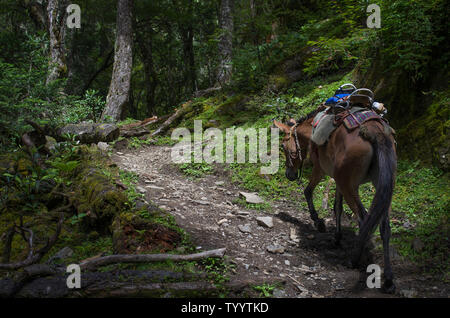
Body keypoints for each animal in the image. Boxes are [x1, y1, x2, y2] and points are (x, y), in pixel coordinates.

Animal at [274, 108, 398, 294]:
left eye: (283, 145)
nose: (289, 175)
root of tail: (374, 132)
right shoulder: (338, 179)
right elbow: (337, 207)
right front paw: (337, 237)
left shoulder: (322, 170)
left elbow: (308, 191)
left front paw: (318, 221)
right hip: (382, 184)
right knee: (384, 227)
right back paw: (389, 280)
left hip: (349, 185)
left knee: (364, 220)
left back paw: (355, 259)